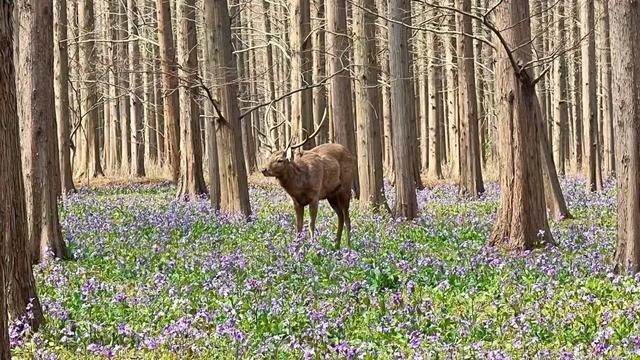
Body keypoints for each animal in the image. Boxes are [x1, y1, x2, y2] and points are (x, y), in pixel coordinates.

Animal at [258, 116, 356, 250]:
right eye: (269, 158)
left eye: (280, 160)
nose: (263, 169)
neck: (300, 186)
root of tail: (350, 153)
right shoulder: (296, 202)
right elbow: (298, 227)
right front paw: (296, 248)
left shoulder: (315, 196)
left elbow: (311, 224)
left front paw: (312, 246)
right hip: (331, 195)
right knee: (340, 216)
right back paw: (336, 245)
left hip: (345, 187)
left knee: (347, 218)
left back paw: (349, 246)